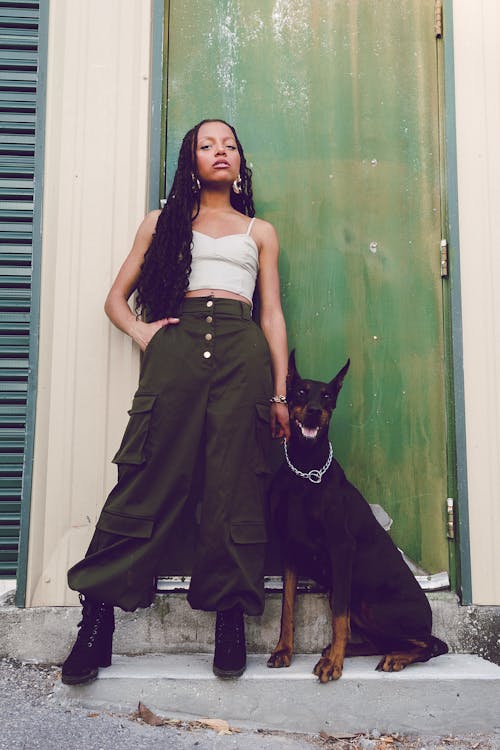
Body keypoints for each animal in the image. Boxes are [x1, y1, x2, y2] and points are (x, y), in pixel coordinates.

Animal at [270, 352, 450, 680]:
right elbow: (287, 607)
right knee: (381, 640)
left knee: (431, 644)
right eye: (301, 391)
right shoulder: (290, 547)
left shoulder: (341, 548)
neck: (306, 469)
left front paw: (334, 664)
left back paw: (393, 657)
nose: (314, 411)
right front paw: (283, 650)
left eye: (327, 396)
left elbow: (339, 618)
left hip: (377, 606)